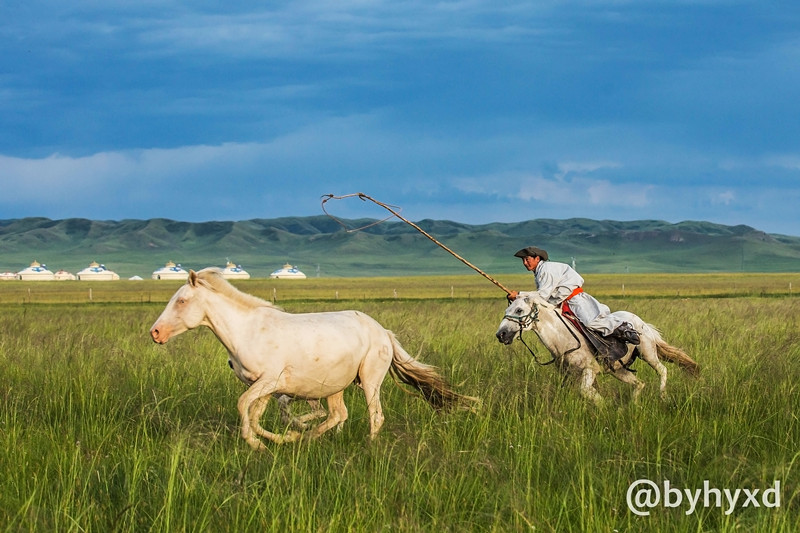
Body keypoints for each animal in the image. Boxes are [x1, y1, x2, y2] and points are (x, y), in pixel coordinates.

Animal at [151, 268, 476, 446]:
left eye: (181, 301)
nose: (155, 333)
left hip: (370, 381)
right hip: (336, 387)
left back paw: (367, 447)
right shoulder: (267, 387)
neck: (247, 331)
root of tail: (383, 331)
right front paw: (283, 439)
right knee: (338, 415)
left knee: (375, 416)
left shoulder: (268, 381)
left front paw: (258, 444)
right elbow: (256, 415)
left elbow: (244, 406)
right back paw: (309, 438)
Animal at [496, 290, 696, 404]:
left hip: (648, 353)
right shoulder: (570, 375)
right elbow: (587, 392)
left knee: (662, 370)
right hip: (618, 370)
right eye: (507, 310)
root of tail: (641, 322)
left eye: (519, 310)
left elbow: (586, 392)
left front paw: (604, 409)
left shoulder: (590, 370)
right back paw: (634, 406)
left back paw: (662, 396)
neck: (562, 338)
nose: (501, 334)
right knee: (640, 383)